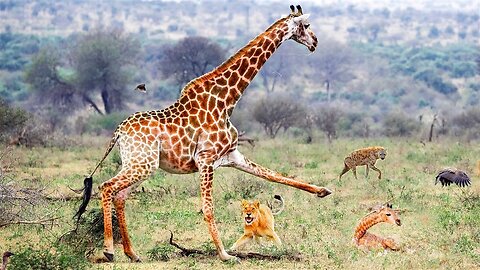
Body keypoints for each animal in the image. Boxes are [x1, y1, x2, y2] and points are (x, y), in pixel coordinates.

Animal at [75, 4, 332, 262]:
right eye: (307, 25)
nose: (315, 42)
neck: (226, 101)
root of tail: (118, 132)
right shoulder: (206, 159)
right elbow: (208, 208)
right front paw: (225, 254)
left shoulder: (232, 155)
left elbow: (274, 175)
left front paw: (323, 191)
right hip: (143, 163)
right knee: (107, 187)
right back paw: (109, 250)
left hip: (139, 163)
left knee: (120, 196)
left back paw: (132, 253)